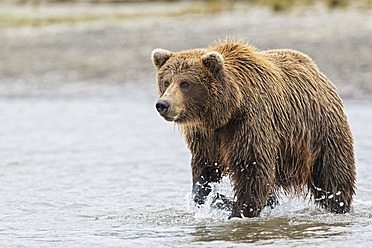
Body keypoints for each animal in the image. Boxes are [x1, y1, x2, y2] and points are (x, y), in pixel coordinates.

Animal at [152, 39, 358, 218]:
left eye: (185, 83)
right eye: (166, 81)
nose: (163, 104)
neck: (224, 112)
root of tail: (317, 71)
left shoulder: (250, 123)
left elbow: (251, 170)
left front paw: (239, 211)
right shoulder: (205, 136)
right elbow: (205, 170)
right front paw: (216, 199)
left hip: (321, 130)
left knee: (333, 173)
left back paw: (339, 205)